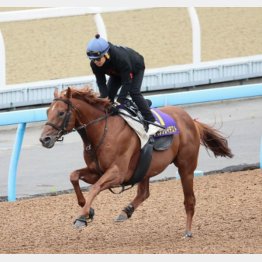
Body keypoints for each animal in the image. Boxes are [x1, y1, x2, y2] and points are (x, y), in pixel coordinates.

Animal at [39, 86, 233, 237]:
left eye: (61, 112)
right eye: (47, 112)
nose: (44, 139)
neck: (103, 131)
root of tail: (192, 121)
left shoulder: (118, 173)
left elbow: (94, 188)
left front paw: (82, 217)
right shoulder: (96, 171)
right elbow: (73, 176)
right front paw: (88, 211)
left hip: (186, 167)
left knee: (189, 199)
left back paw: (187, 231)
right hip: (146, 168)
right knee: (144, 193)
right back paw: (126, 212)